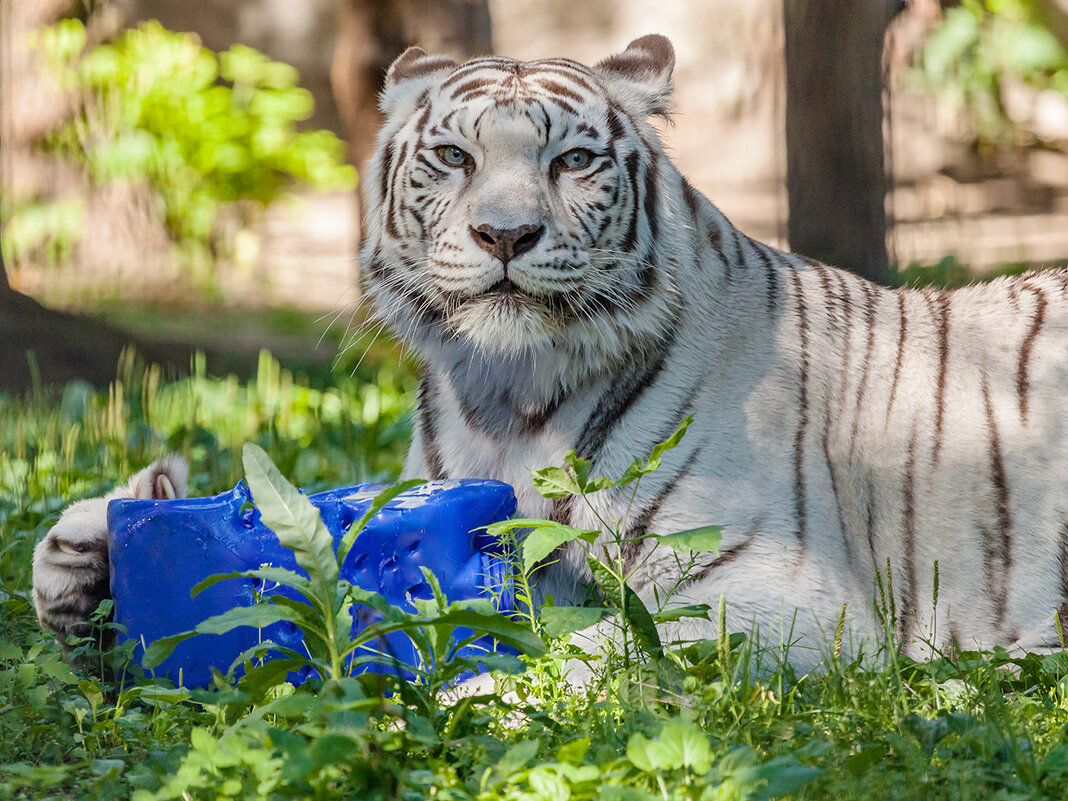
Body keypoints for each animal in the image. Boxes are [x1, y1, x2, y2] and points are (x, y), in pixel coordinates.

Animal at [33, 37, 1068, 679]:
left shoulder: (781, 595)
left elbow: (598, 649)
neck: (501, 398)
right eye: (453, 158)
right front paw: (92, 546)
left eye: (572, 161)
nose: (505, 233)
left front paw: (457, 698)